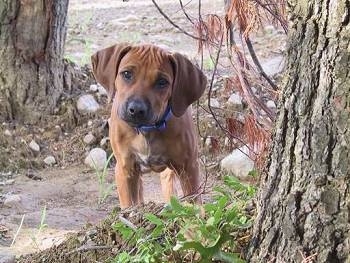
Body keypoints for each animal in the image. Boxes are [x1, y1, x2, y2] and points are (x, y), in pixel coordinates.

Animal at [91, 42, 208, 208]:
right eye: (127, 74)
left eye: (162, 82)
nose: (136, 109)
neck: (146, 129)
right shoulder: (125, 169)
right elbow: (129, 205)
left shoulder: (188, 167)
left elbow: (194, 202)